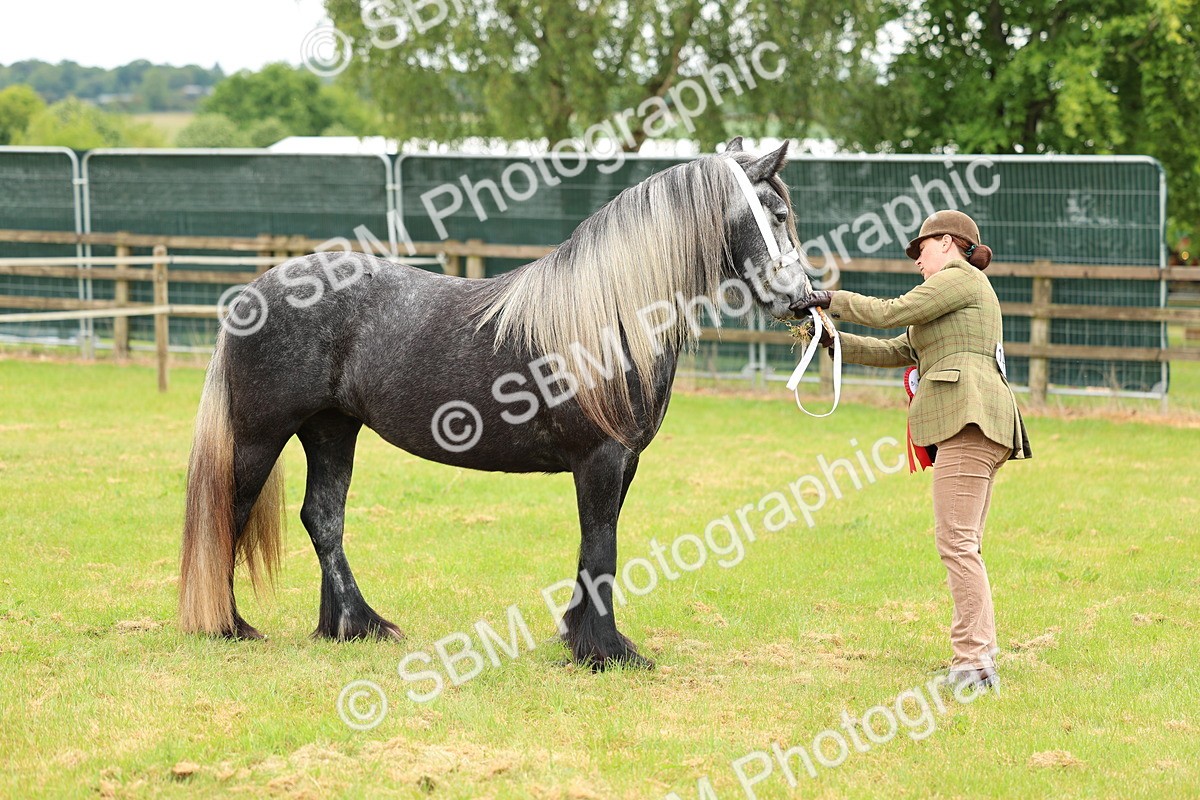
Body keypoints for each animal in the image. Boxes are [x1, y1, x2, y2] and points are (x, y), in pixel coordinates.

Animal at [178, 137, 813, 670]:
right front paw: (607, 653)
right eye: (778, 215)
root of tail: (253, 293)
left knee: (323, 519)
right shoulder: (601, 460)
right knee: (230, 512)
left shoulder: (622, 463)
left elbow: (593, 547)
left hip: (331, 429)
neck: (608, 315)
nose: (808, 299)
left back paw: (357, 626)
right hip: (260, 435)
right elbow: (602, 545)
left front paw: (578, 639)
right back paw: (229, 626)